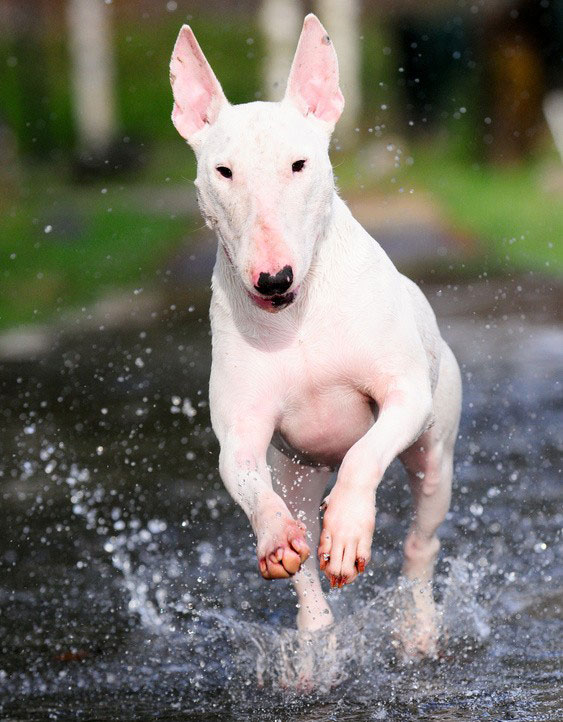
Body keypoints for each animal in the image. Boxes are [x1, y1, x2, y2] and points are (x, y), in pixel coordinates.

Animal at [171, 12, 462, 652]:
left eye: (299, 165)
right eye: (223, 171)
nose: (272, 279)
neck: (296, 319)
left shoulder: (404, 395)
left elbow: (365, 451)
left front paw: (349, 531)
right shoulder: (242, 432)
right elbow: (243, 475)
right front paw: (276, 537)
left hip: (435, 454)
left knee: (420, 543)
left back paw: (418, 627)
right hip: (297, 473)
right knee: (304, 566)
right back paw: (313, 634)